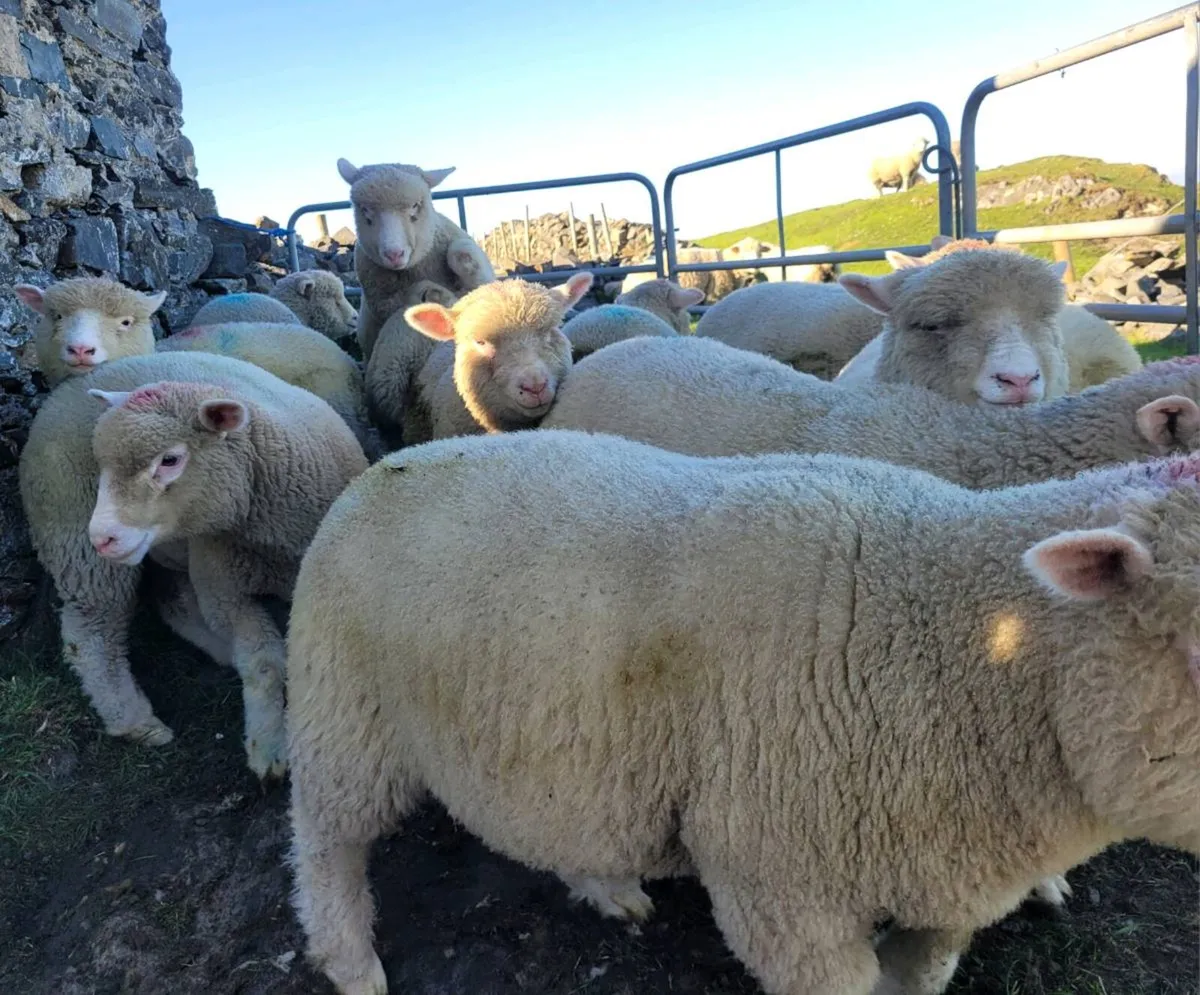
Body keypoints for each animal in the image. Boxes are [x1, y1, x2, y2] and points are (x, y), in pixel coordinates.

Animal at [18, 351, 367, 778]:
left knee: (173, 600)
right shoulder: (225, 593)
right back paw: (135, 721)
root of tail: (57, 396)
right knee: (91, 633)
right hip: (76, 542)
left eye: (170, 459)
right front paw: (268, 746)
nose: (102, 537)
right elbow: (263, 663)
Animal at [286, 427, 1200, 995]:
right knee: (327, 845)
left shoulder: (947, 890)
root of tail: (393, 460)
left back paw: (607, 887)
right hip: (343, 715)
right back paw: (353, 962)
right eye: (1192, 646)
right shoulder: (782, 891)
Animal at [336, 158, 495, 359]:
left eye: (415, 206)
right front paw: (432, 294)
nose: (394, 254)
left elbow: (460, 252)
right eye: (365, 211)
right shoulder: (380, 299)